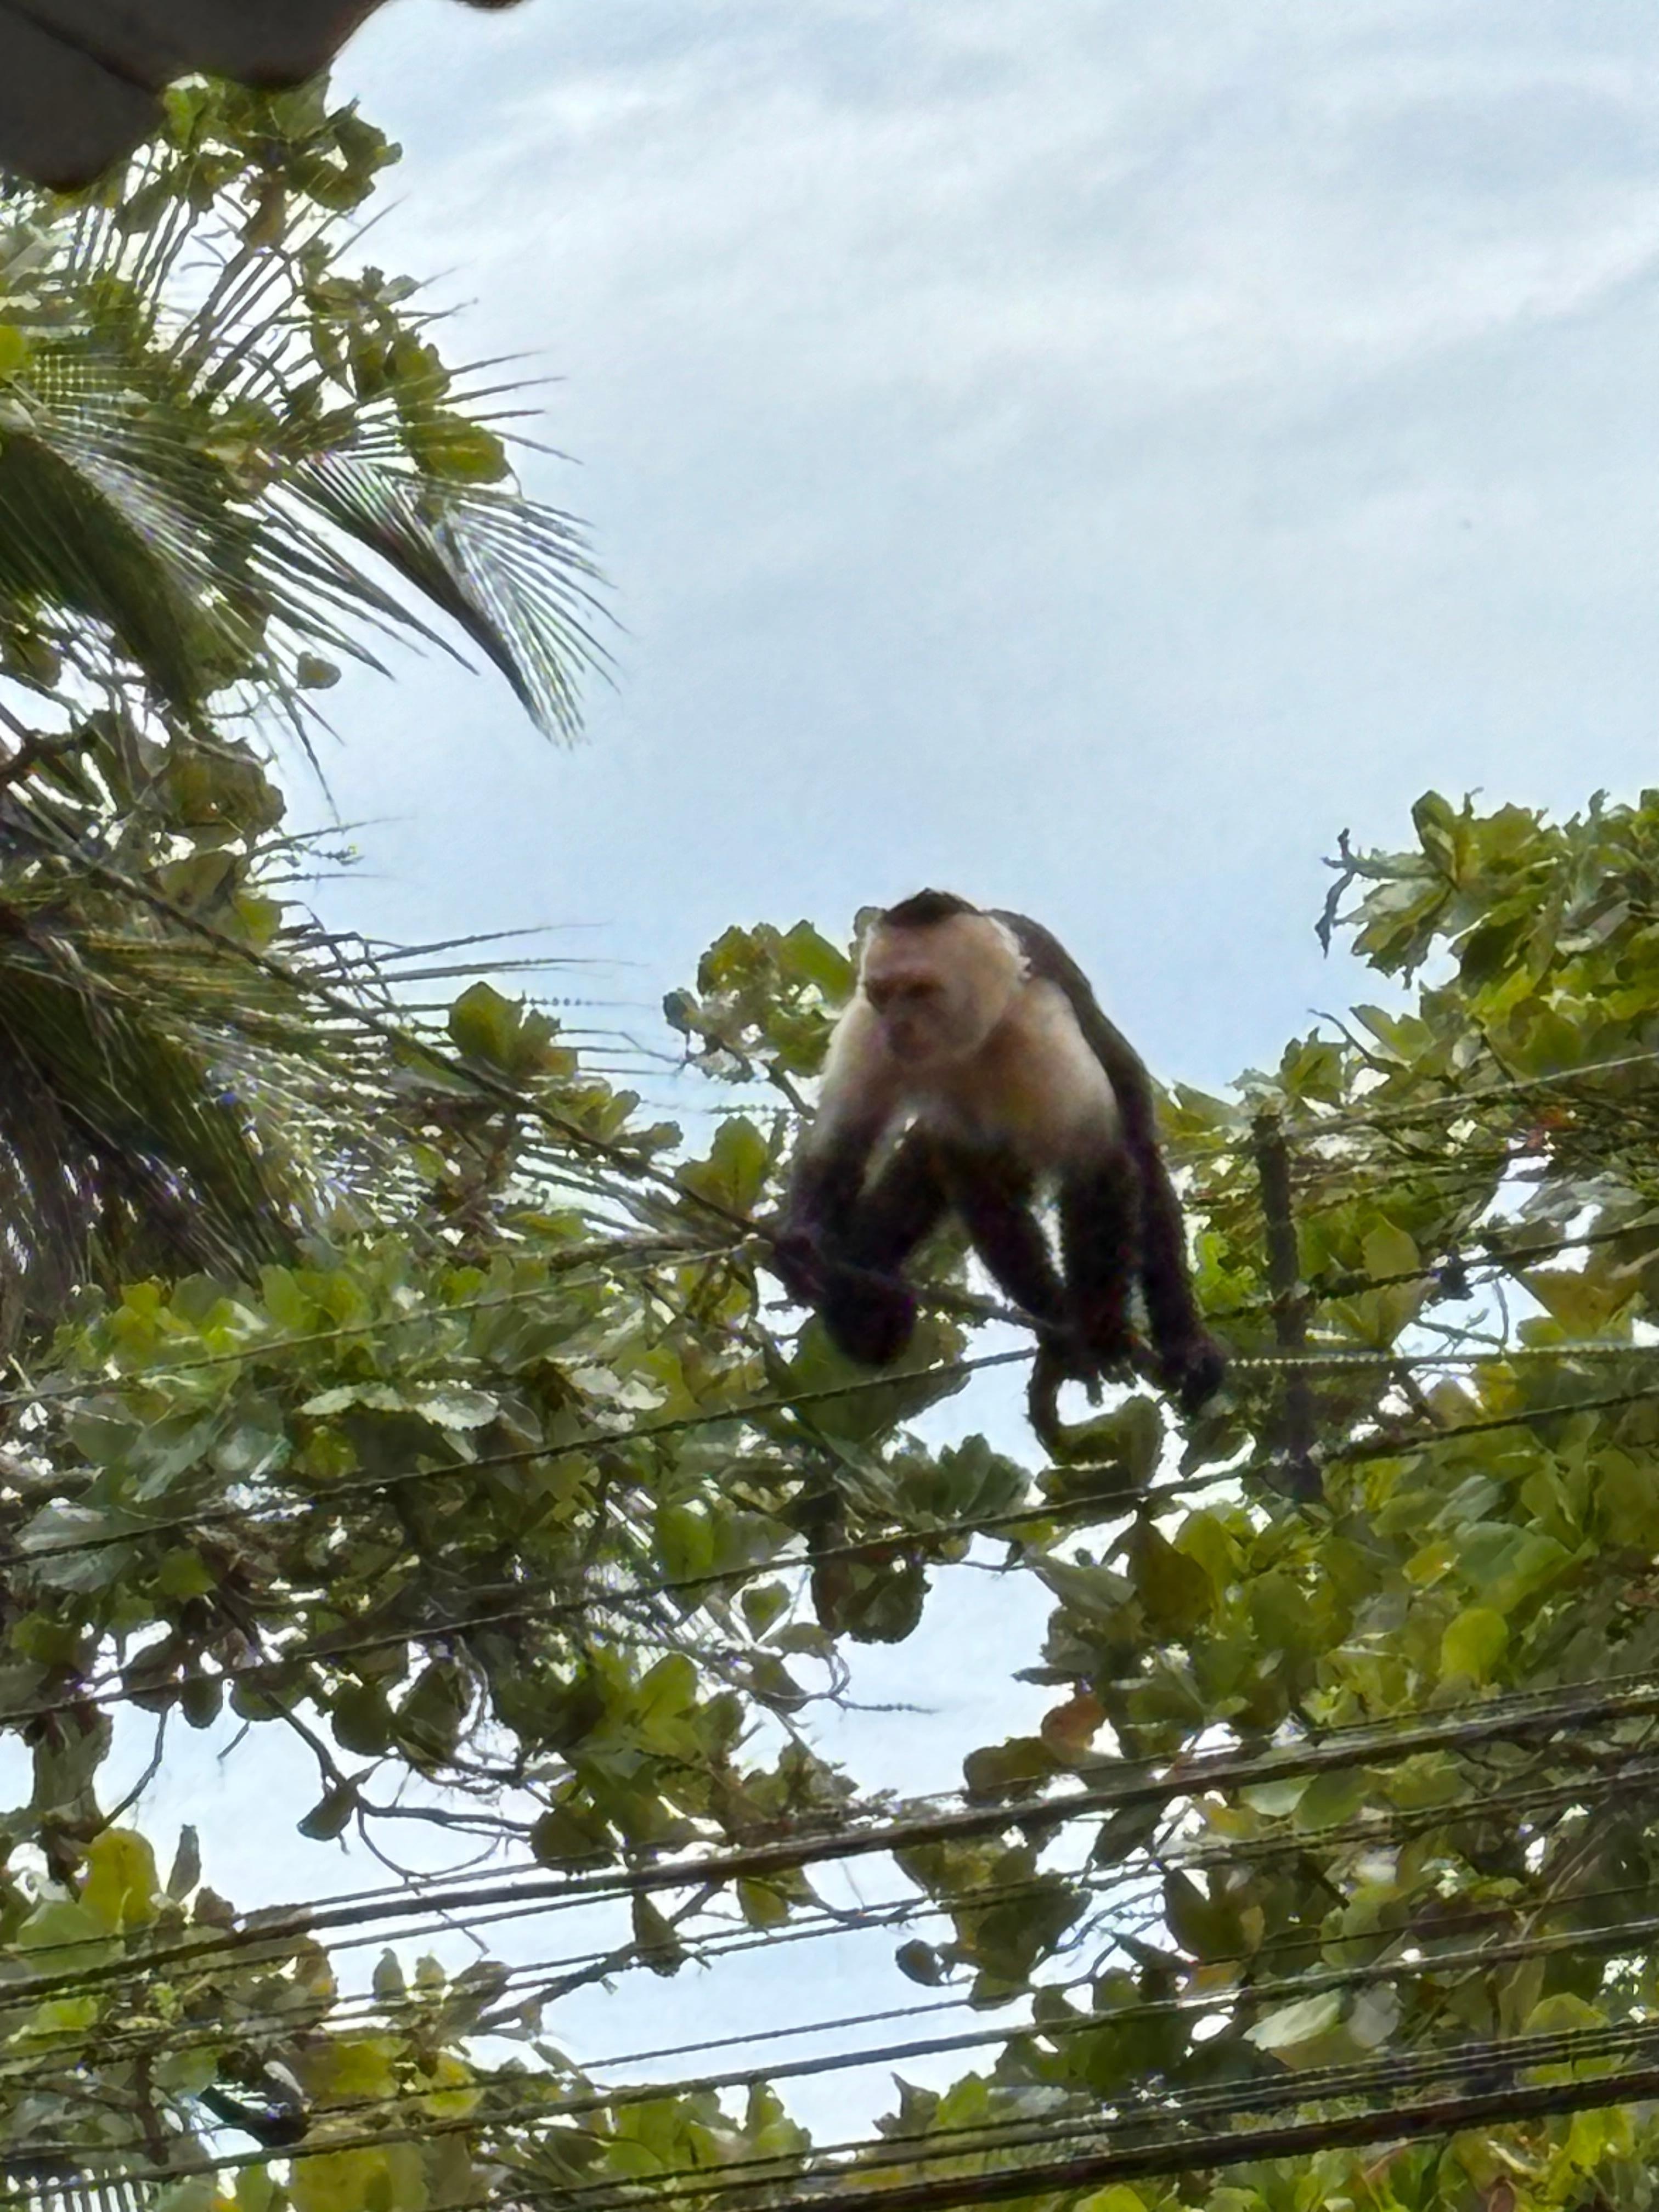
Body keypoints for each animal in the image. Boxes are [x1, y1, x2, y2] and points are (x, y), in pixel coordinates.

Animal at [772, 891, 1226, 1416]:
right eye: (885, 993)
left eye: (921, 990)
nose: (899, 1025)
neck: (969, 1043)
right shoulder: (868, 1026)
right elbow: (845, 1139)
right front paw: (803, 1242)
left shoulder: (1038, 1019)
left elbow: (1097, 1163)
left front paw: (1096, 1329)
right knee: (947, 1161)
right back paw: (862, 1291)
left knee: (1142, 1167)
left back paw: (1182, 1346)